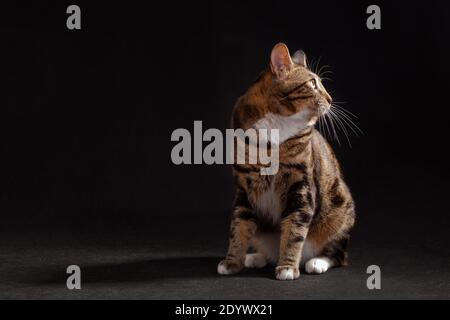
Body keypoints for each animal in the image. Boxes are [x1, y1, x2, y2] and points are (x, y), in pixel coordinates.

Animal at [217, 42, 356, 280]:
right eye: (312, 83)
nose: (330, 99)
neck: (276, 128)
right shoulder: (244, 186)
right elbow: (239, 225)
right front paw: (232, 261)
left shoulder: (301, 185)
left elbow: (294, 229)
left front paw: (288, 267)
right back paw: (256, 257)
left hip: (341, 208)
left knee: (338, 253)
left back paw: (316, 262)